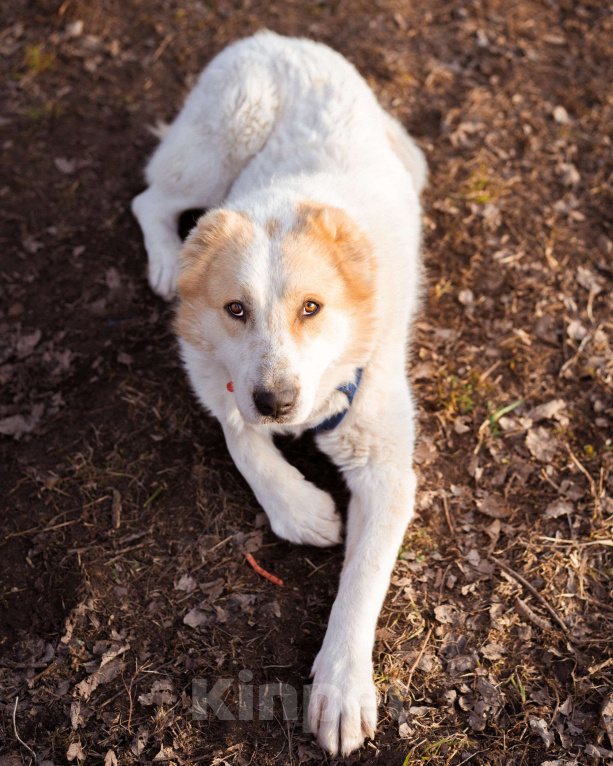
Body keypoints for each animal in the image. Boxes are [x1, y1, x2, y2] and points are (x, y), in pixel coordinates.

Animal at [130, 30, 426, 756]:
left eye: (311, 308)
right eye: (235, 310)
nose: (277, 404)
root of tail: (273, 39)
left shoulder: (386, 470)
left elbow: (359, 584)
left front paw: (341, 687)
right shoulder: (214, 371)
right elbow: (240, 438)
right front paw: (300, 507)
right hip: (215, 151)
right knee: (150, 200)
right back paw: (165, 258)